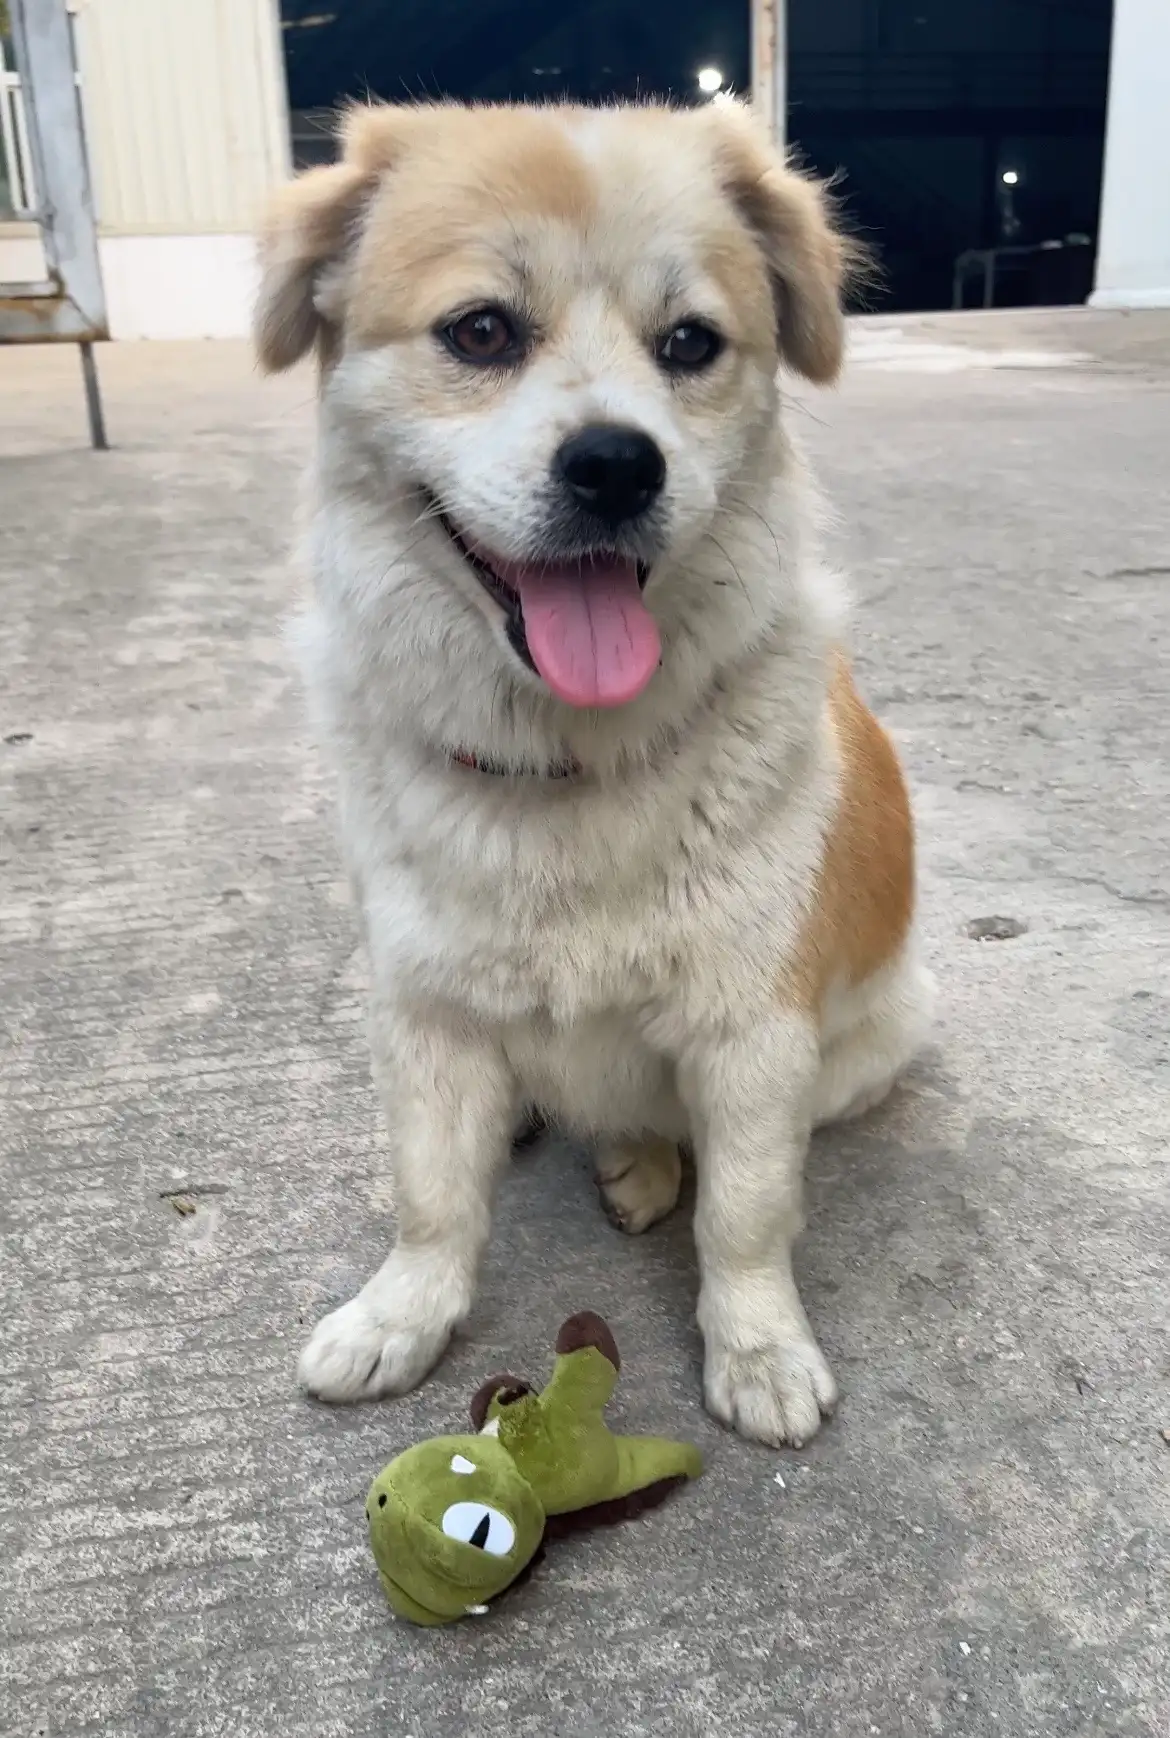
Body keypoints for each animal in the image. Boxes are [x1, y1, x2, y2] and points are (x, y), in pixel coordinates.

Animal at [253, 98, 931, 1452]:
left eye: (691, 343)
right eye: (481, 331)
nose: (618, 464)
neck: (564, 763)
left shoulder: (752, 1032)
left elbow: (745, 1212)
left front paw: (758, 1345)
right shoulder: (422, 1007)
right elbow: (429, 1192)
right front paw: (402, 1311)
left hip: (868, 1043)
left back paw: (642, 1163)